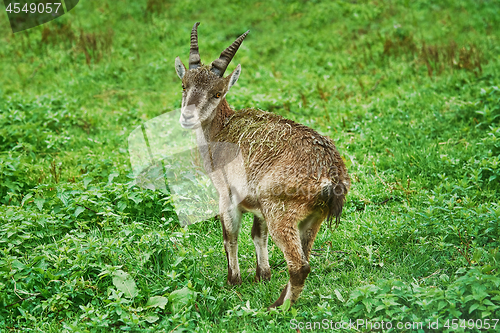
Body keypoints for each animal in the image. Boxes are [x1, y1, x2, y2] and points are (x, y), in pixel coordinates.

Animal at [176, 22, 352, 308]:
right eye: (184, 85)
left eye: (217, 92)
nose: (187, 117)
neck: (221, 130)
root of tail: (332, 176)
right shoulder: (257, 205)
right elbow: (258, 235)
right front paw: (262, 275)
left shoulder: (227, 194)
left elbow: (230, 236)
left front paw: (233, 280)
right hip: (311, 218)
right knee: (305, 256)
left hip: (281, 210)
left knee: (299, 265)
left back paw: (279, 308)